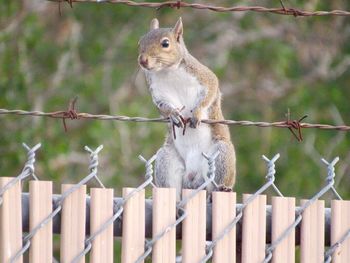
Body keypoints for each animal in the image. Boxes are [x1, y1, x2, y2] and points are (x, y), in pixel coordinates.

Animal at [138, 18, 237, 200]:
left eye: (165, 43)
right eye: (140, 42)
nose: (143, 60)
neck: (167, 71)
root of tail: (192, 179)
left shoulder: (203, 76)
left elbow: (210, 91)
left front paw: (196, 113)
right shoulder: (158, 91)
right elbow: (163, 107)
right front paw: (173, 115)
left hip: (221, 155)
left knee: (216, 184)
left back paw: (222, 190)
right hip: (166, 160)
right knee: (172, 189)